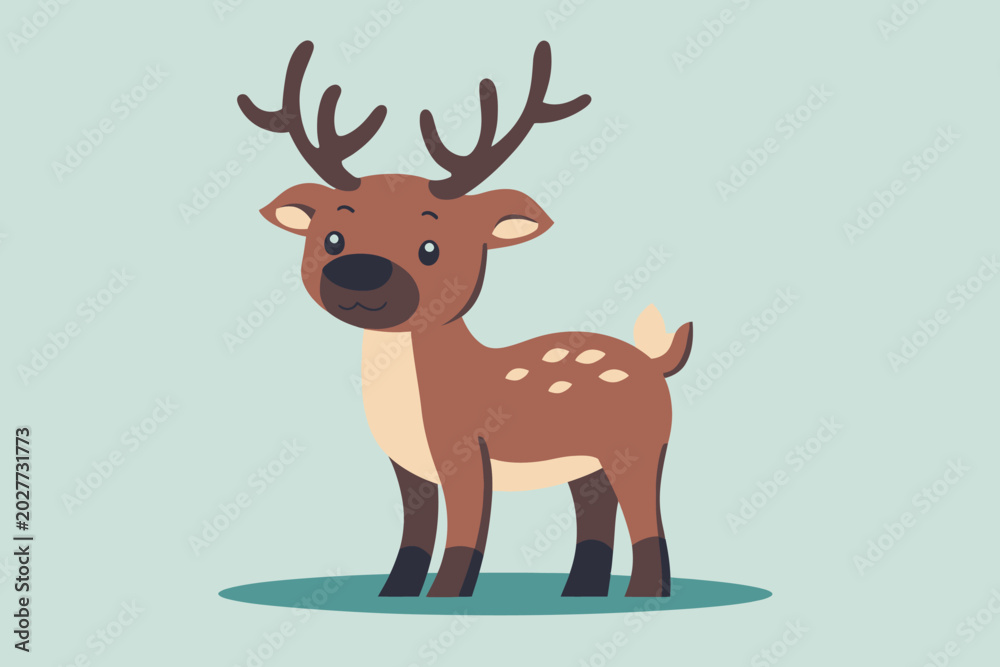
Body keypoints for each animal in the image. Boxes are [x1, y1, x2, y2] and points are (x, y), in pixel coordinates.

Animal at [238, 40, 693, 598]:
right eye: (332, 239)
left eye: (431, 248)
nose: (359, 273)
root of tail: (657, 360)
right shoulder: (408, 466)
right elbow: (415, 533)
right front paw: (395, 594)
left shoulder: (466, 451)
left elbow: (467, 530)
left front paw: (446, 596)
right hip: (587, 463)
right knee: (596, 511)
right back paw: (579, 592)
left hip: (638, 447)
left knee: (647, 516)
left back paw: (643, 595)